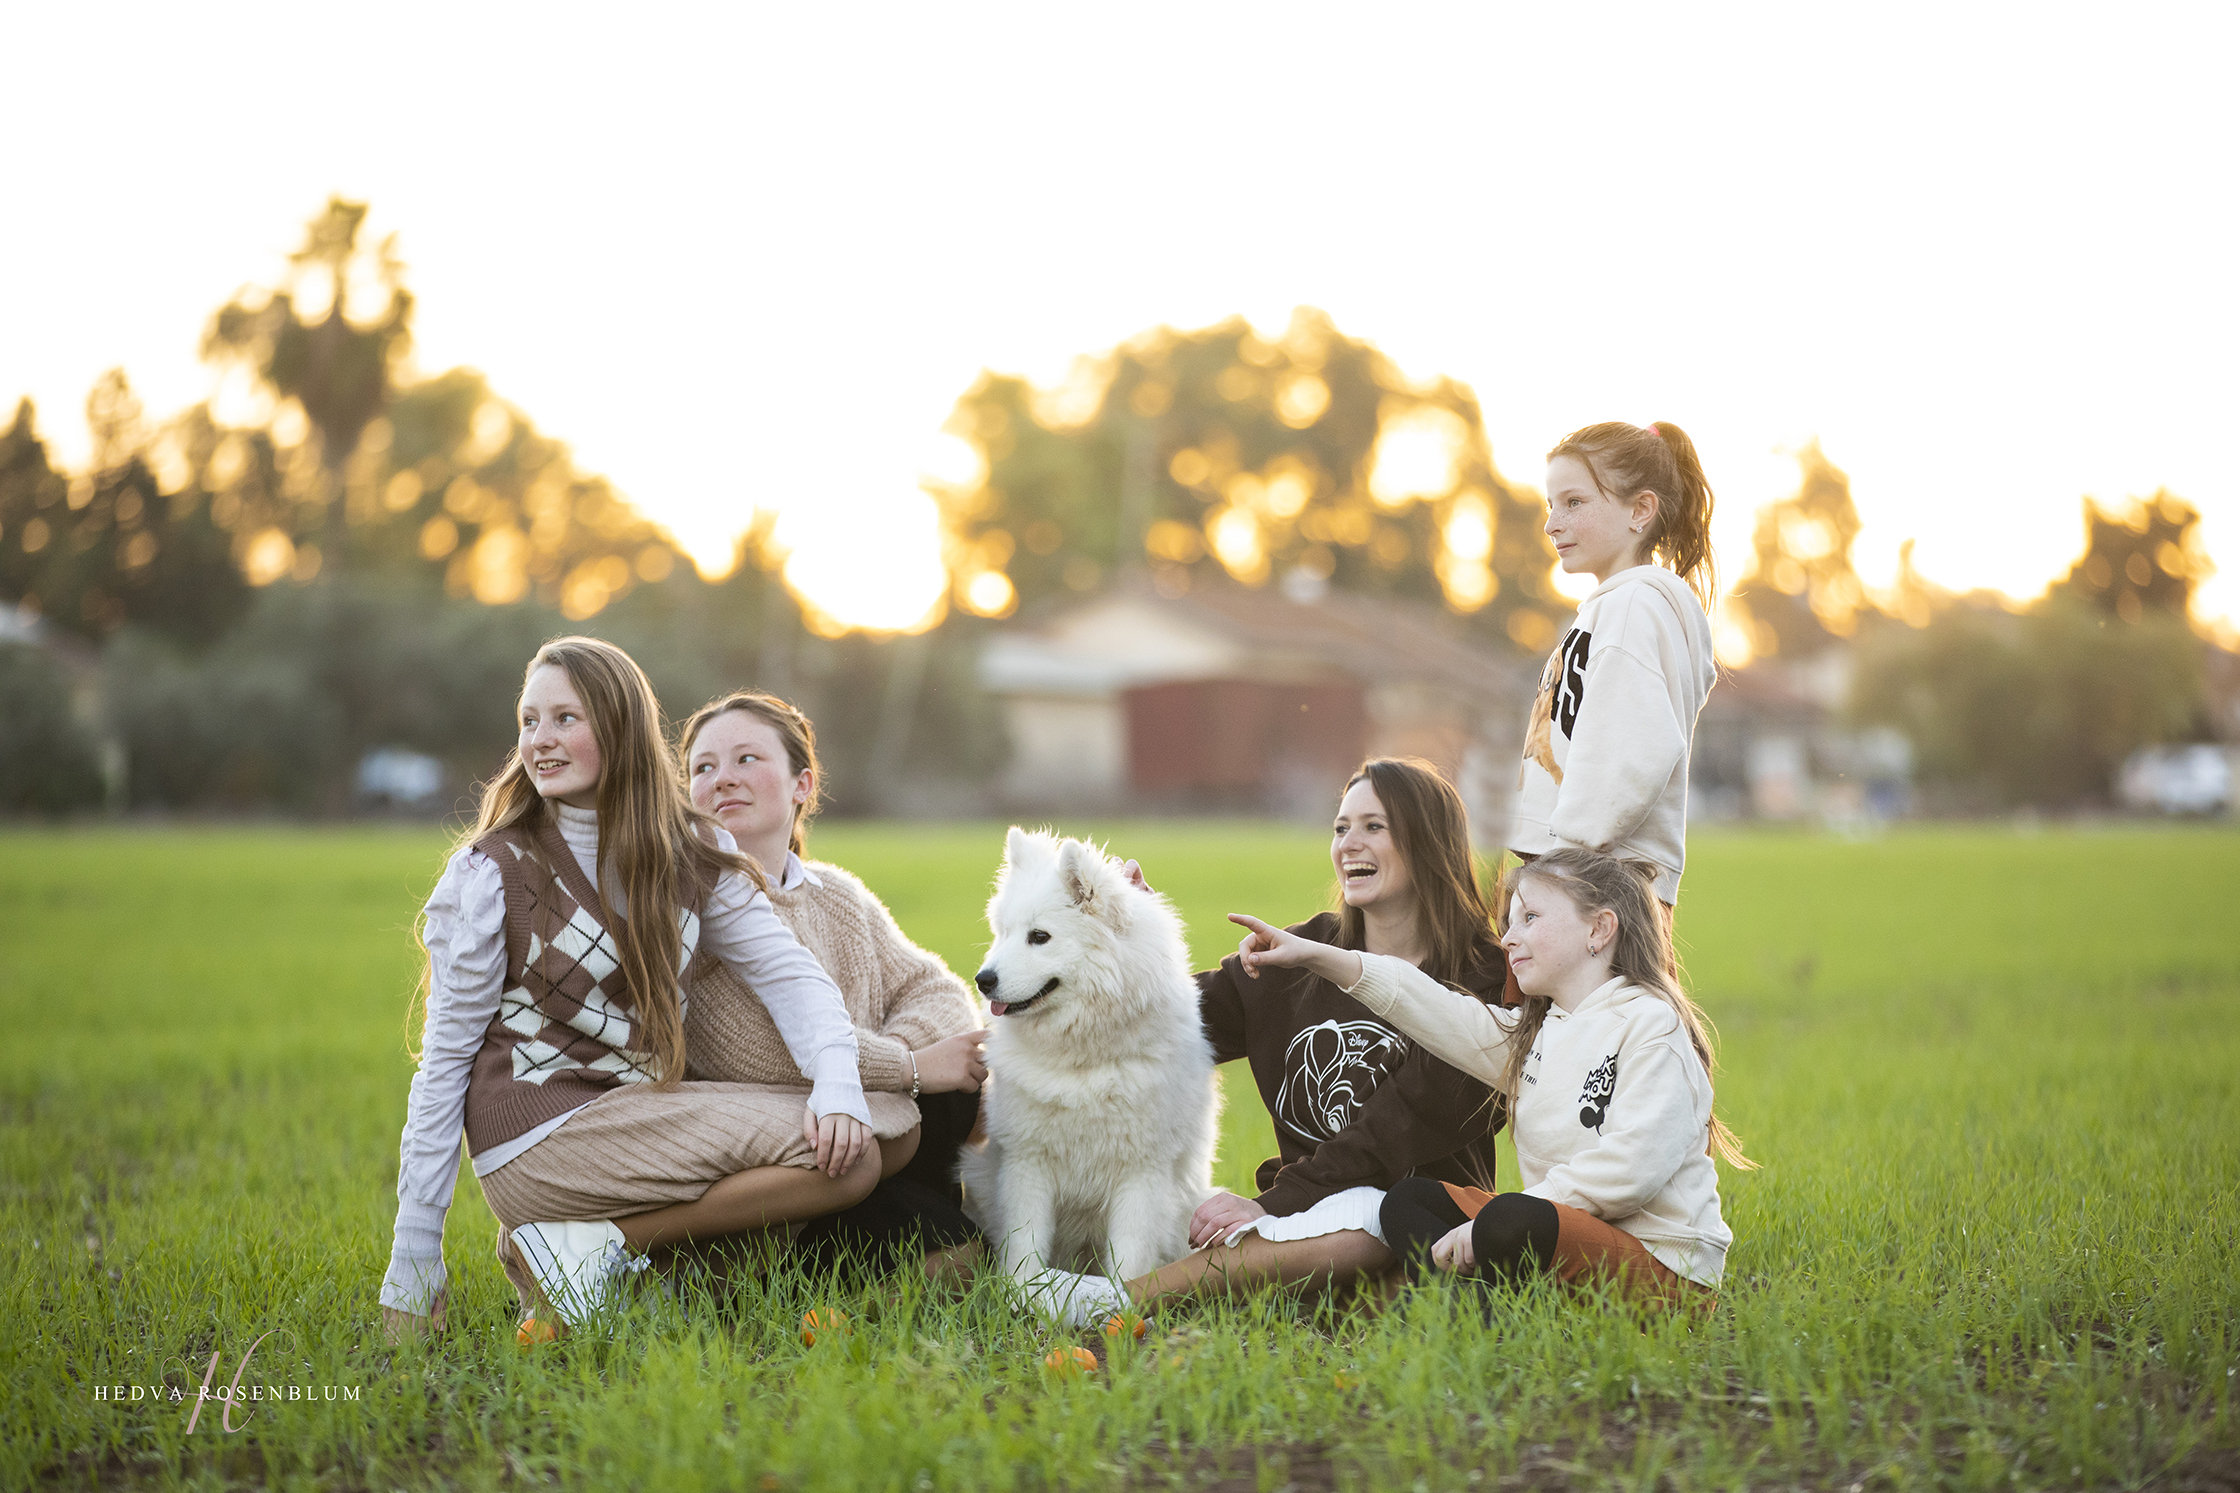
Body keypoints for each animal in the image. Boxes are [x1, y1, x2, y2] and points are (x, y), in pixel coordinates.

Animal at [954, 828, 1218, 1289]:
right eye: (1004, 932)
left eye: (1039, 937)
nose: (983, 980)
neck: (1082, 1063)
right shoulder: (1027, 1163)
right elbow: (1024, 1247)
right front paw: (1021, 1295)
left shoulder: (1141, 1173)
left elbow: (1129, 1260)